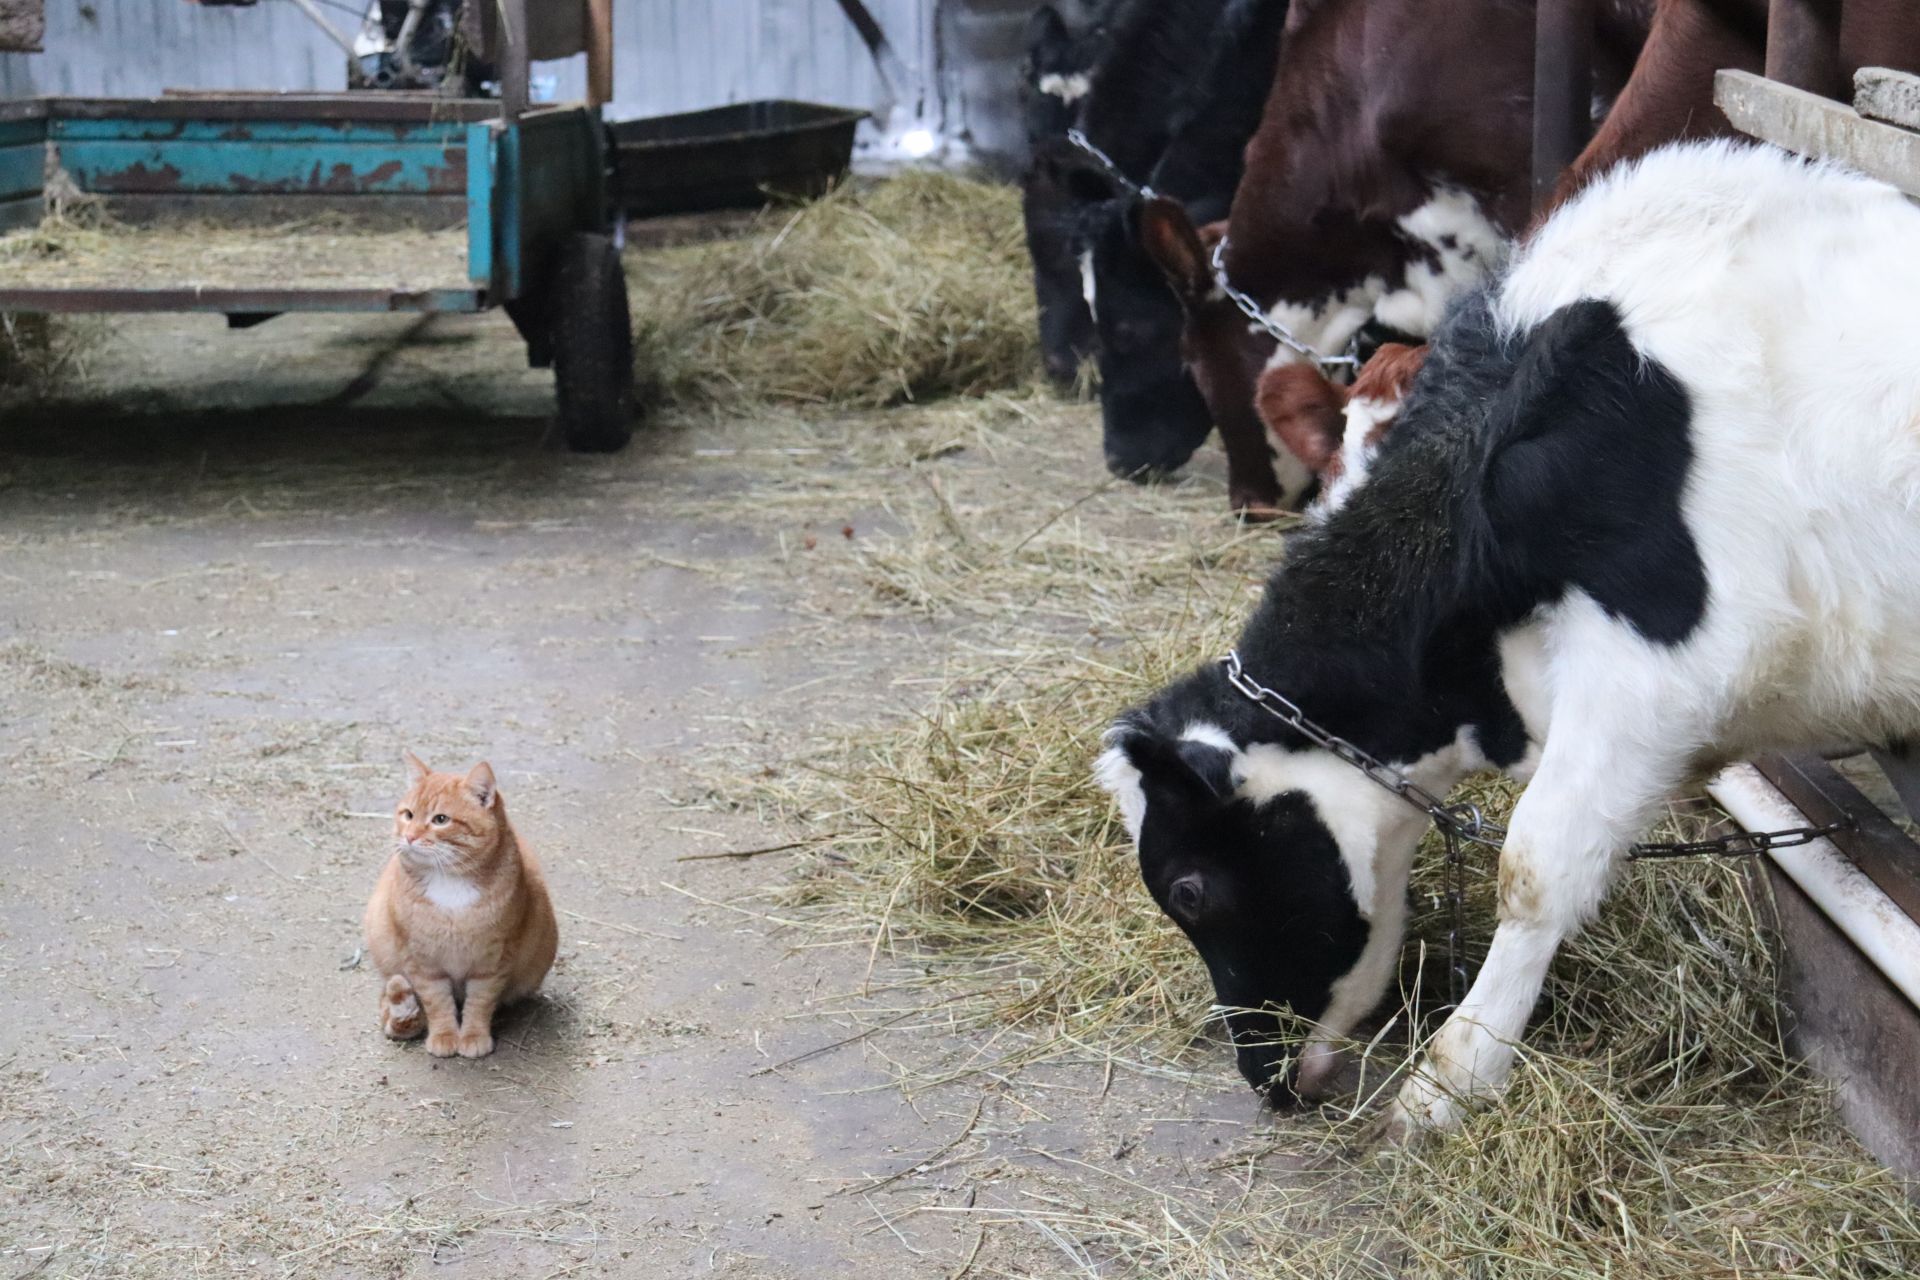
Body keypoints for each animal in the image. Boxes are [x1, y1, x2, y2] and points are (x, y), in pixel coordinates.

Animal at [360, 756, 556, 1059]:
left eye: (440, 820)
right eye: (408, 815)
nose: (410, 836)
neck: (449, 883)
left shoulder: (492, 962)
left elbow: (480, 1002)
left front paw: (474, 1036)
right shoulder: (423, 963)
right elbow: (437, 1003)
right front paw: (444, 1036)